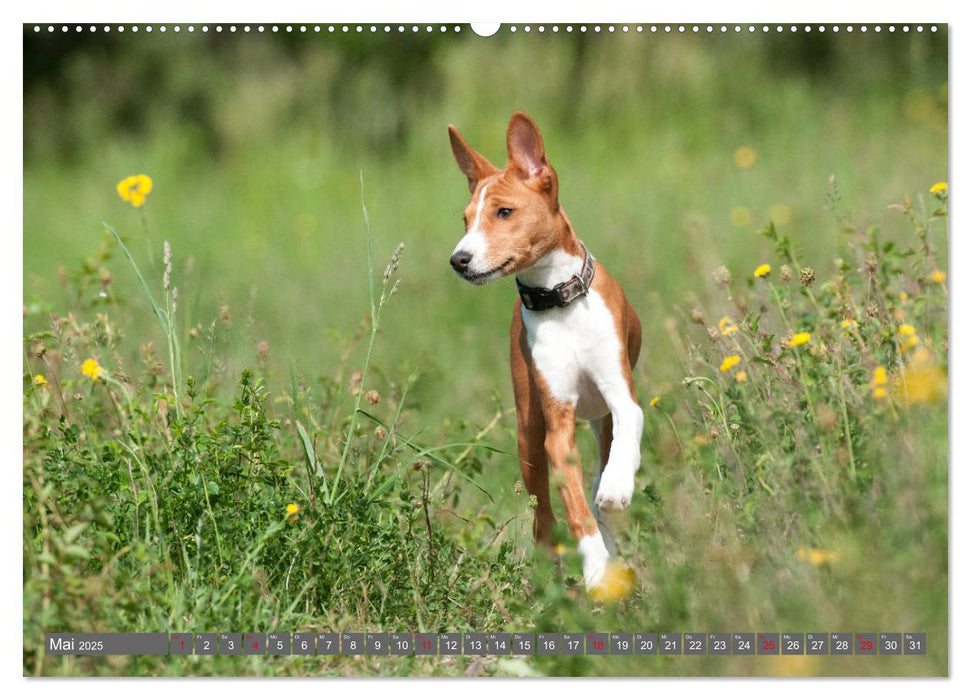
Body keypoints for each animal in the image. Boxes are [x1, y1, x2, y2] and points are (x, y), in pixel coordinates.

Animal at [448, 110, 644, 596]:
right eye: (465, 220)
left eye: (504, 212)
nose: (459, 259)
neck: (560, 301)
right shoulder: (557, 424)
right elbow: (573, 511)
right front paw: (596, 571)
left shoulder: (619, 393)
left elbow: (623, 440)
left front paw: (616, 488)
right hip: (528, 432)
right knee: (543, 517)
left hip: (599, 417)